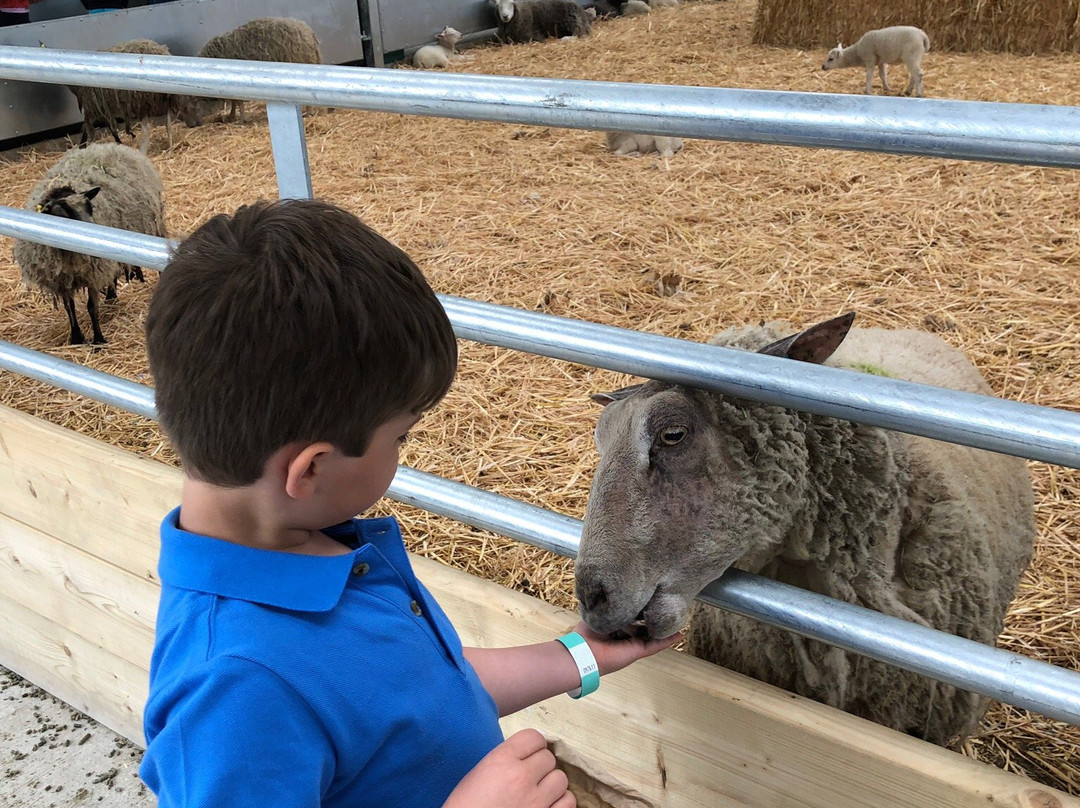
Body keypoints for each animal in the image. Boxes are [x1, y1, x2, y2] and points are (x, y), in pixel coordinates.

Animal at [12, 143, 165, 345]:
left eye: (90, 207)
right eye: (62, 215)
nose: (97, 234)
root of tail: (109, 145)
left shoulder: (93, 272)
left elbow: (92, 307)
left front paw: (98, 340)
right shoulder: (62, 280)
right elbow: (69, 307)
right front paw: (76, 337)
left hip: (156, 223)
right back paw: (111, 297)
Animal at [66, 38, 200, 153]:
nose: (195, 123)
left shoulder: (94, 107)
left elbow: (92, 128)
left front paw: (84, 146)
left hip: (142, 100)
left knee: (146, 128)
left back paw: (142, 152)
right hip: (158, 100)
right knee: (168, 124)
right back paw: (171, 148)